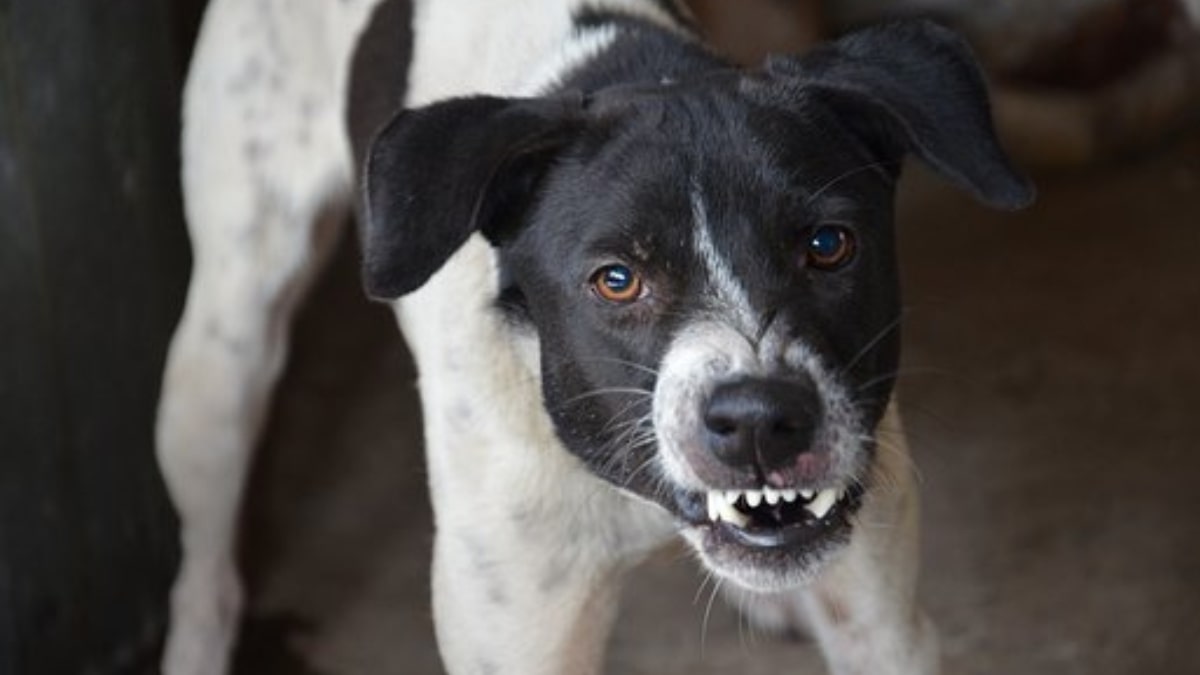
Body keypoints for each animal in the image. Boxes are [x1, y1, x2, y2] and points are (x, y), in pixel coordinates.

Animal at [157, 0, 1032, 667]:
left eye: (828, 244)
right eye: (616, 278)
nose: (759, 419)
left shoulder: (884, 625)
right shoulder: (519, 634)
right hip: (224, 348)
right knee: (205, 566)